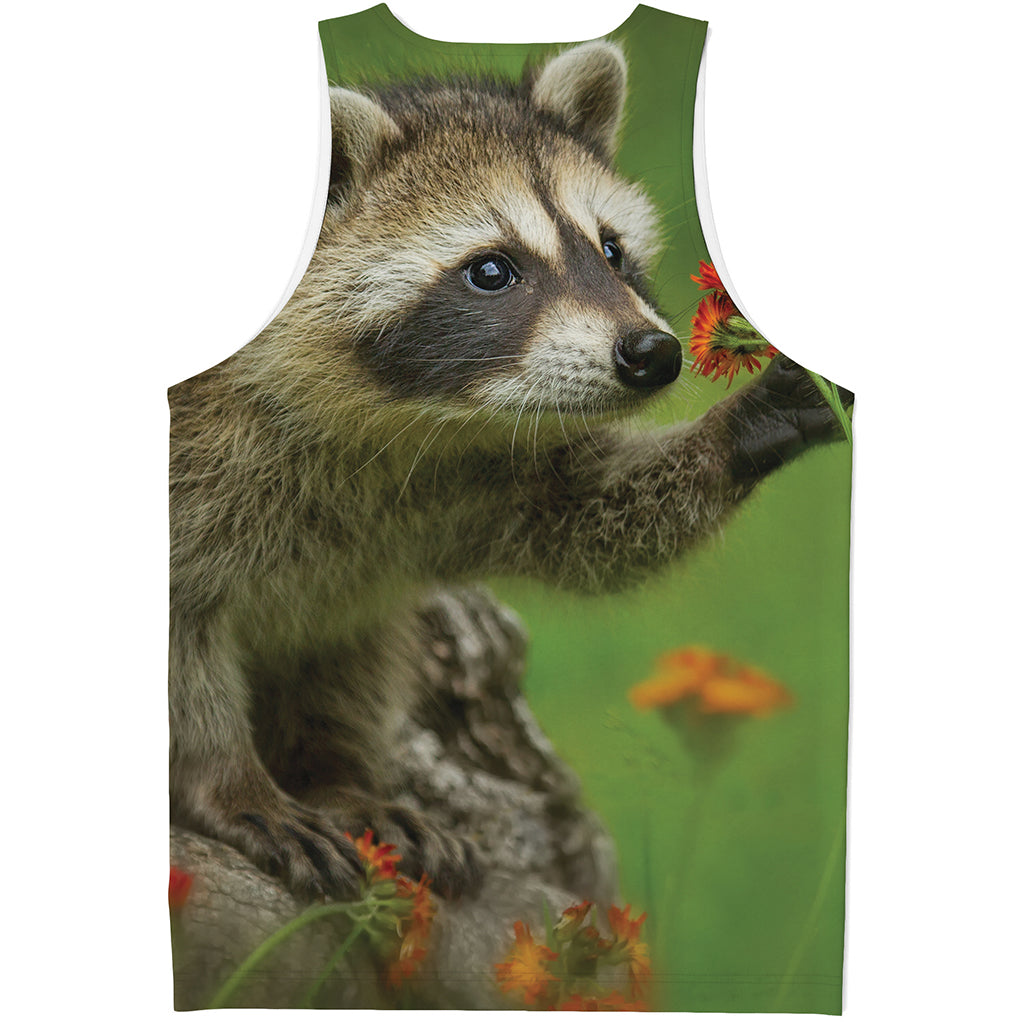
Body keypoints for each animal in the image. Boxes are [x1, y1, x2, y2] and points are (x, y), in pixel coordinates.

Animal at [169, 41, 849, 901]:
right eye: (490, 271)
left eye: (611, 250)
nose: (654, 355)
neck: (394, 422)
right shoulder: (195, 455)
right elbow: (179, 644)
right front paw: (228, 781)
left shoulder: (467, 469)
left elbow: (581, 518)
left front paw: (746, 424)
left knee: (350, 642)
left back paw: (337, 771)